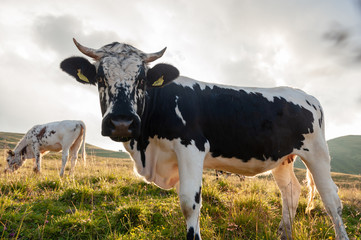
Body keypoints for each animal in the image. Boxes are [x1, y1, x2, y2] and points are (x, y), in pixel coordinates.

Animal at [60, 38, 348, 239]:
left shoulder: (191, 148)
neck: (145, 149)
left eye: (141, 79)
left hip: (317, 152)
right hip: (283, 158)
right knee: (290, 192)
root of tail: (305, 95)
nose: (122, 122)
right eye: (100, 78)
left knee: (331, 199)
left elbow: (189, 203)